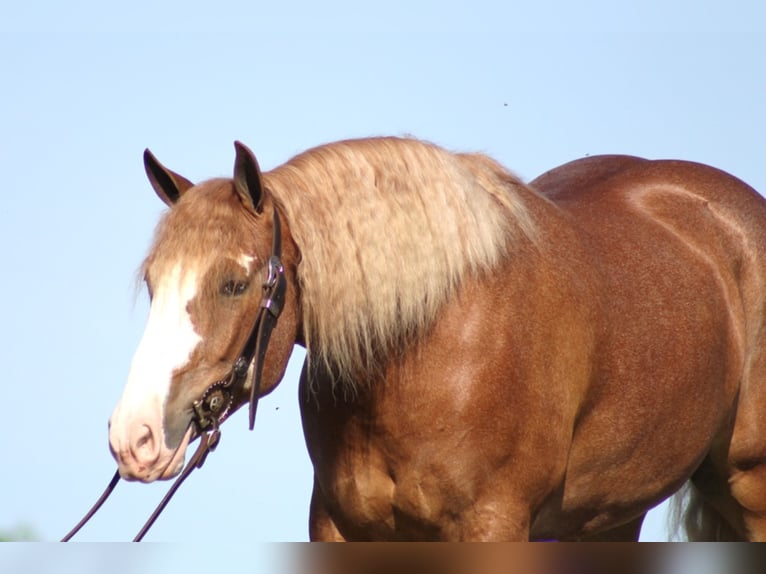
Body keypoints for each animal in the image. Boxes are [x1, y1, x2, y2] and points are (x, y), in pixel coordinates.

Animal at [108, 137, 766, 544]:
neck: (422, 349)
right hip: (606, 518)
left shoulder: (493, 525)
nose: (133, 437)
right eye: (153, 281)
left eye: (234, 283)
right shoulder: (343, 529)